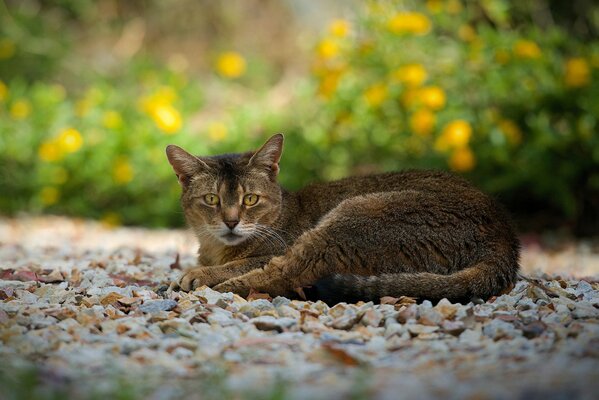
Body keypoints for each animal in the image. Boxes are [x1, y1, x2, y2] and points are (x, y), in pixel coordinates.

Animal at [165, 134, 520, 304]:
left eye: (250, 199)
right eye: (212, 200)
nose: (231, 221)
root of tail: (505, 236)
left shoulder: (278, 247)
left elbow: (244, 263)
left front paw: (199, 274)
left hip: (355, 216)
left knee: (285, 275)